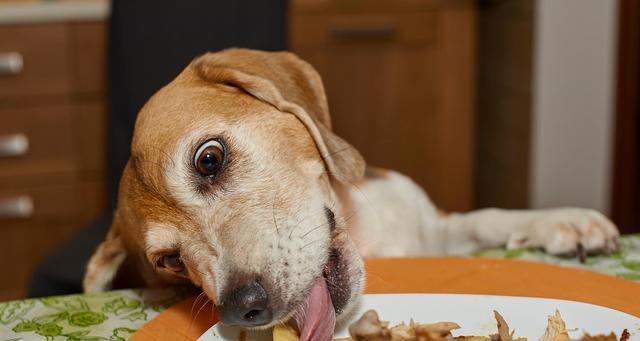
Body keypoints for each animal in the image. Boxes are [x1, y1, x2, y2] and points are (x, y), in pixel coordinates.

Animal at [82, 48, 616, 340]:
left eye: (208, 159)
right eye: (170, 261)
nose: (241, 308)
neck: (367, 236)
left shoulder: (435, 227)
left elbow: (488, 216)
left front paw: (566, 222)